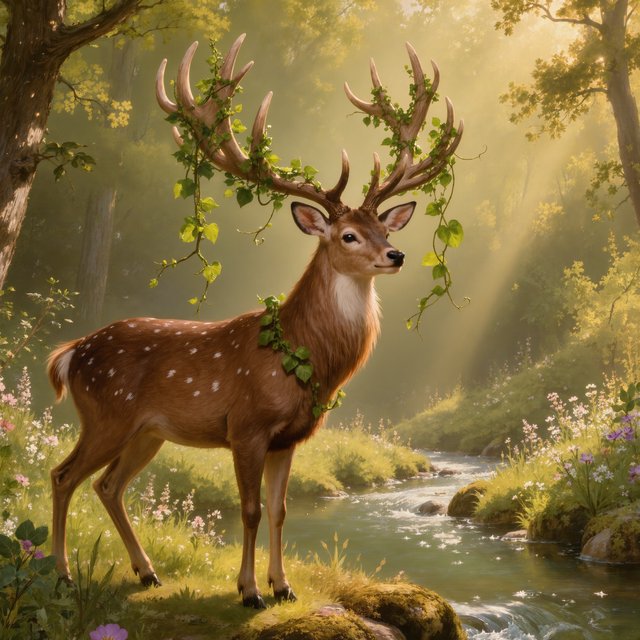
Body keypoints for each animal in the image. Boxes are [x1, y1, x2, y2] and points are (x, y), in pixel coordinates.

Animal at [47, 34, 462, 609]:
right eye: (348, 235)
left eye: (384, 226)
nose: (395, 255)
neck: (302, 360)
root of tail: (70, 354)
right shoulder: (246, 426)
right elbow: (249, 510)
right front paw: (248, 592)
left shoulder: (288, 438)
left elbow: (282, 510)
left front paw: (282, 585)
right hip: (105, 414)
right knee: (62, 475)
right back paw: (63, 575)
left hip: (146, 431)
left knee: (107, 485)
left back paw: (147, 573)